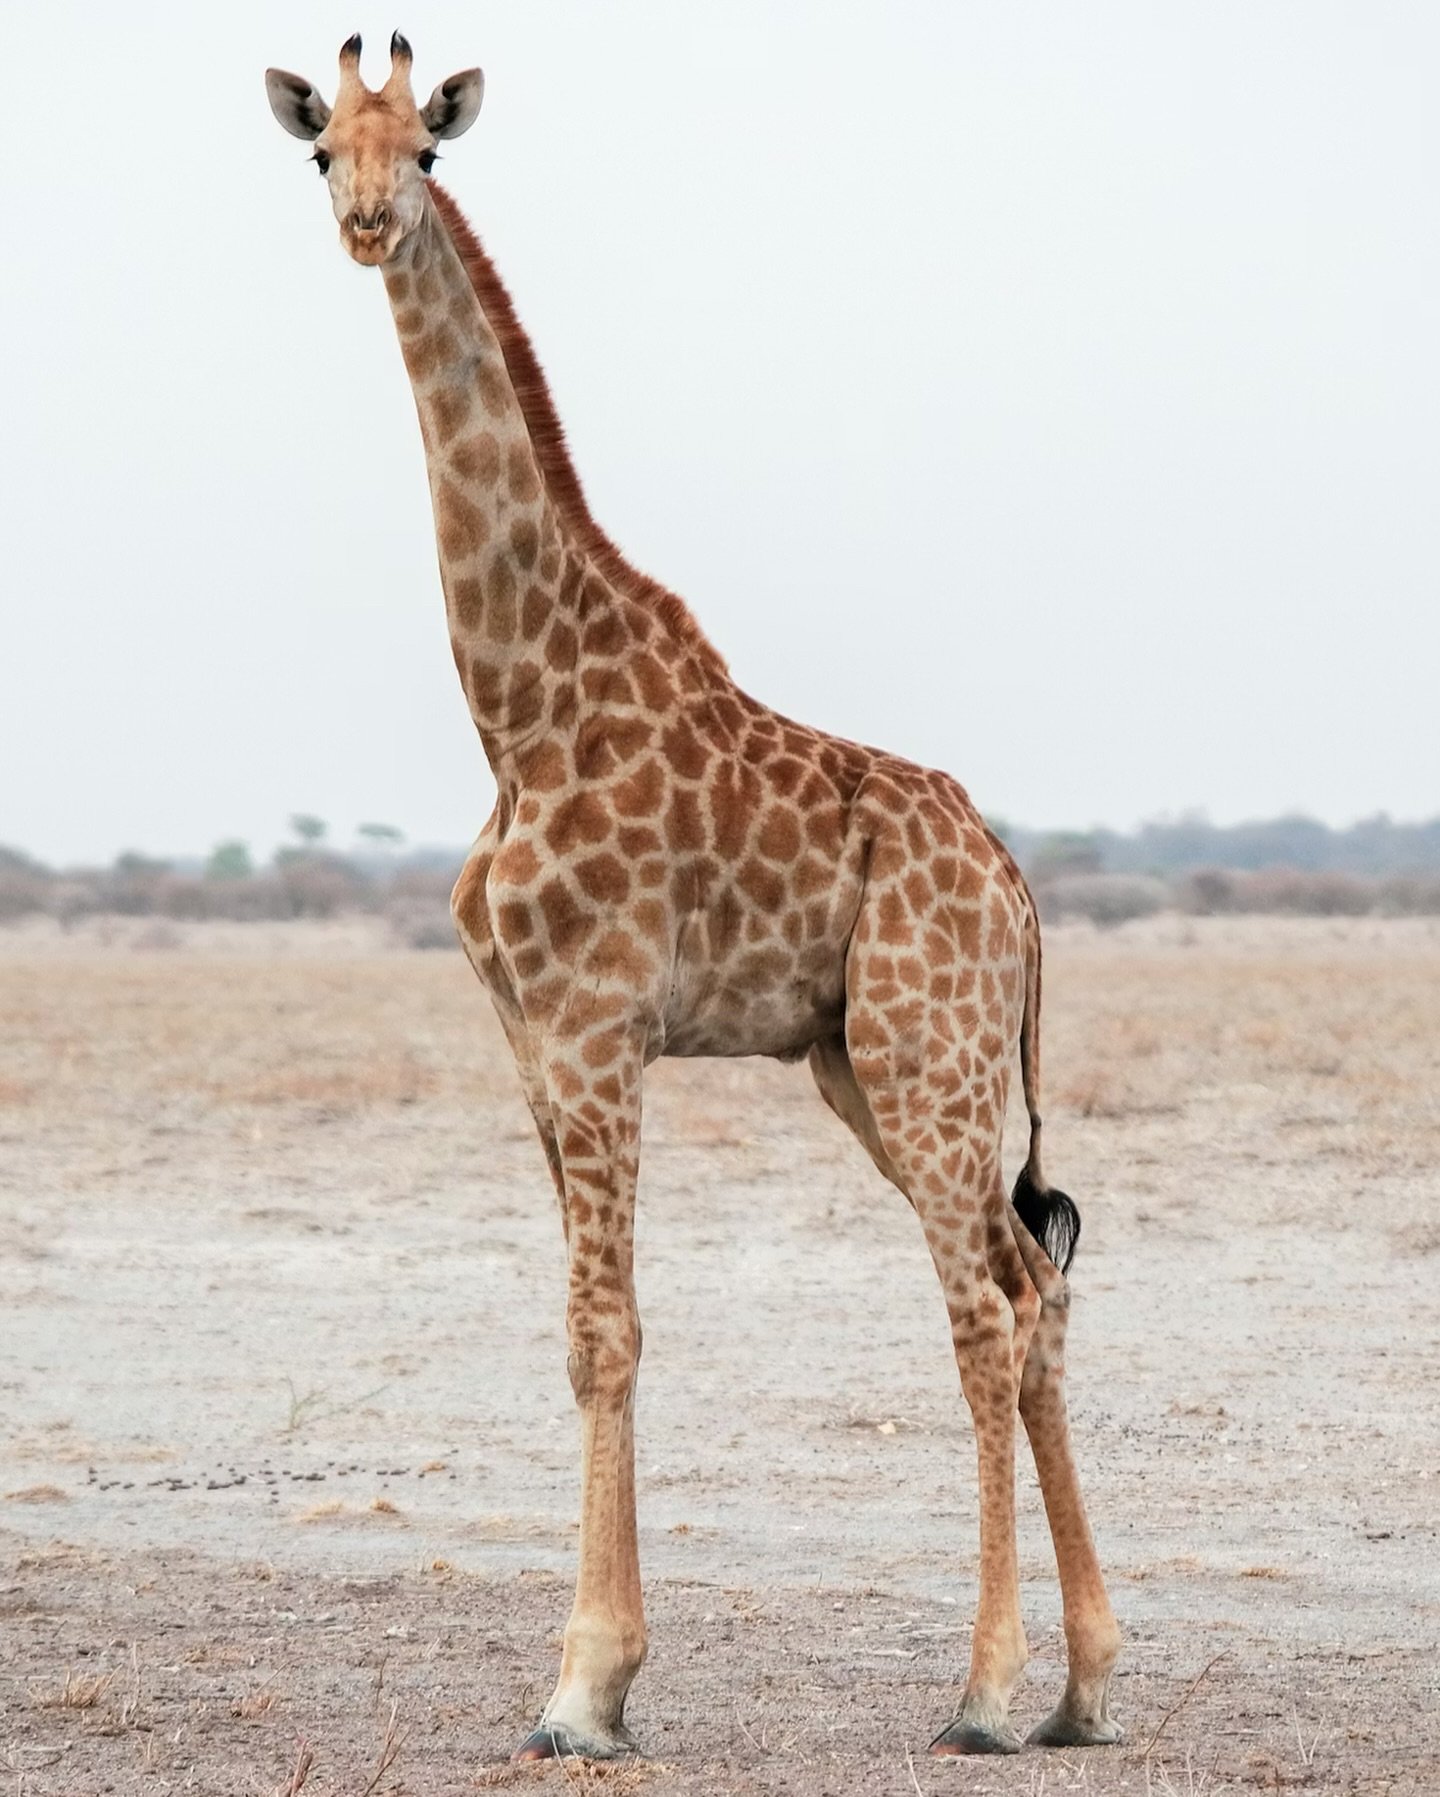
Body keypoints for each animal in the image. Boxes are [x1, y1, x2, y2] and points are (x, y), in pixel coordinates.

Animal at [267, 34, 1122, 1764]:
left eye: (428, 153)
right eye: (323, 150)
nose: (372, 223)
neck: (518, 707)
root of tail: (1016, 890)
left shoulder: (600, 1029)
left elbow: (610, 1333)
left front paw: (585, 1691)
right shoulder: (532, 1048)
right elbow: (585, 1330)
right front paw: (591, 1676)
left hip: (926, 1060)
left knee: (986, 1316)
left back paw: (987, 1692)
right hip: (866, 1064)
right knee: (1037, 1284)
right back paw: (1083, 1683)